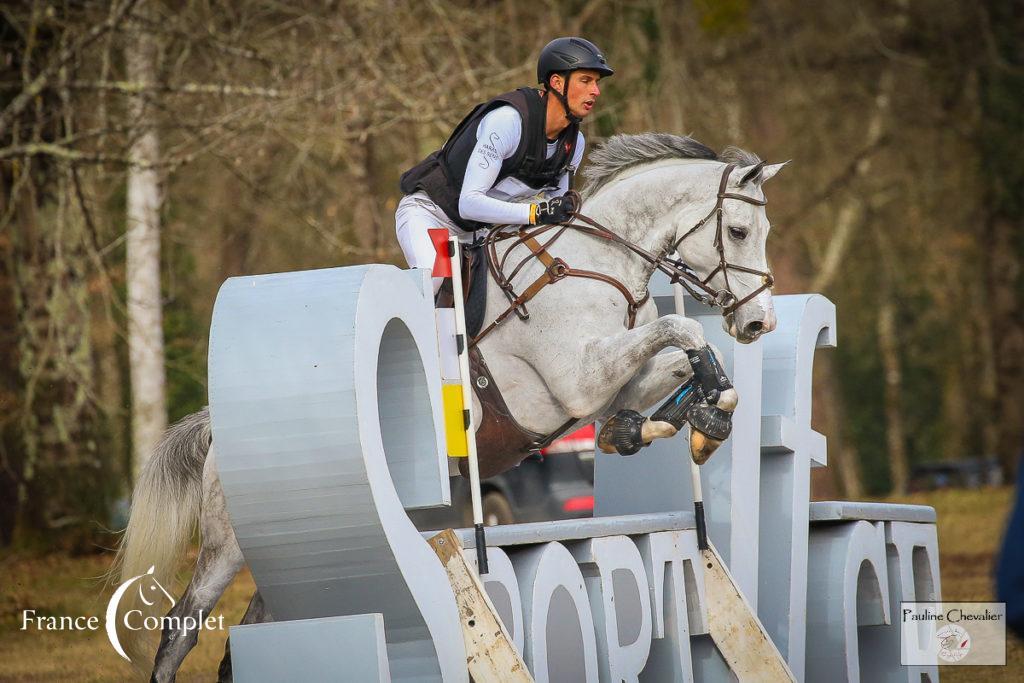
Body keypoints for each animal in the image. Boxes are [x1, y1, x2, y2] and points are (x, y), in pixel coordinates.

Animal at [112, 132, 782, 679]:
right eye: (739, 232)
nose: (758, 323)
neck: (597, 264)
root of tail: (221, 429)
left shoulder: (609, 384)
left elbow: (677, 361)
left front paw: (683, 421)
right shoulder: (581, 378)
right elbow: (682, 329)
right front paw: (701, 415)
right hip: (229, 545)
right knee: (181, 628)